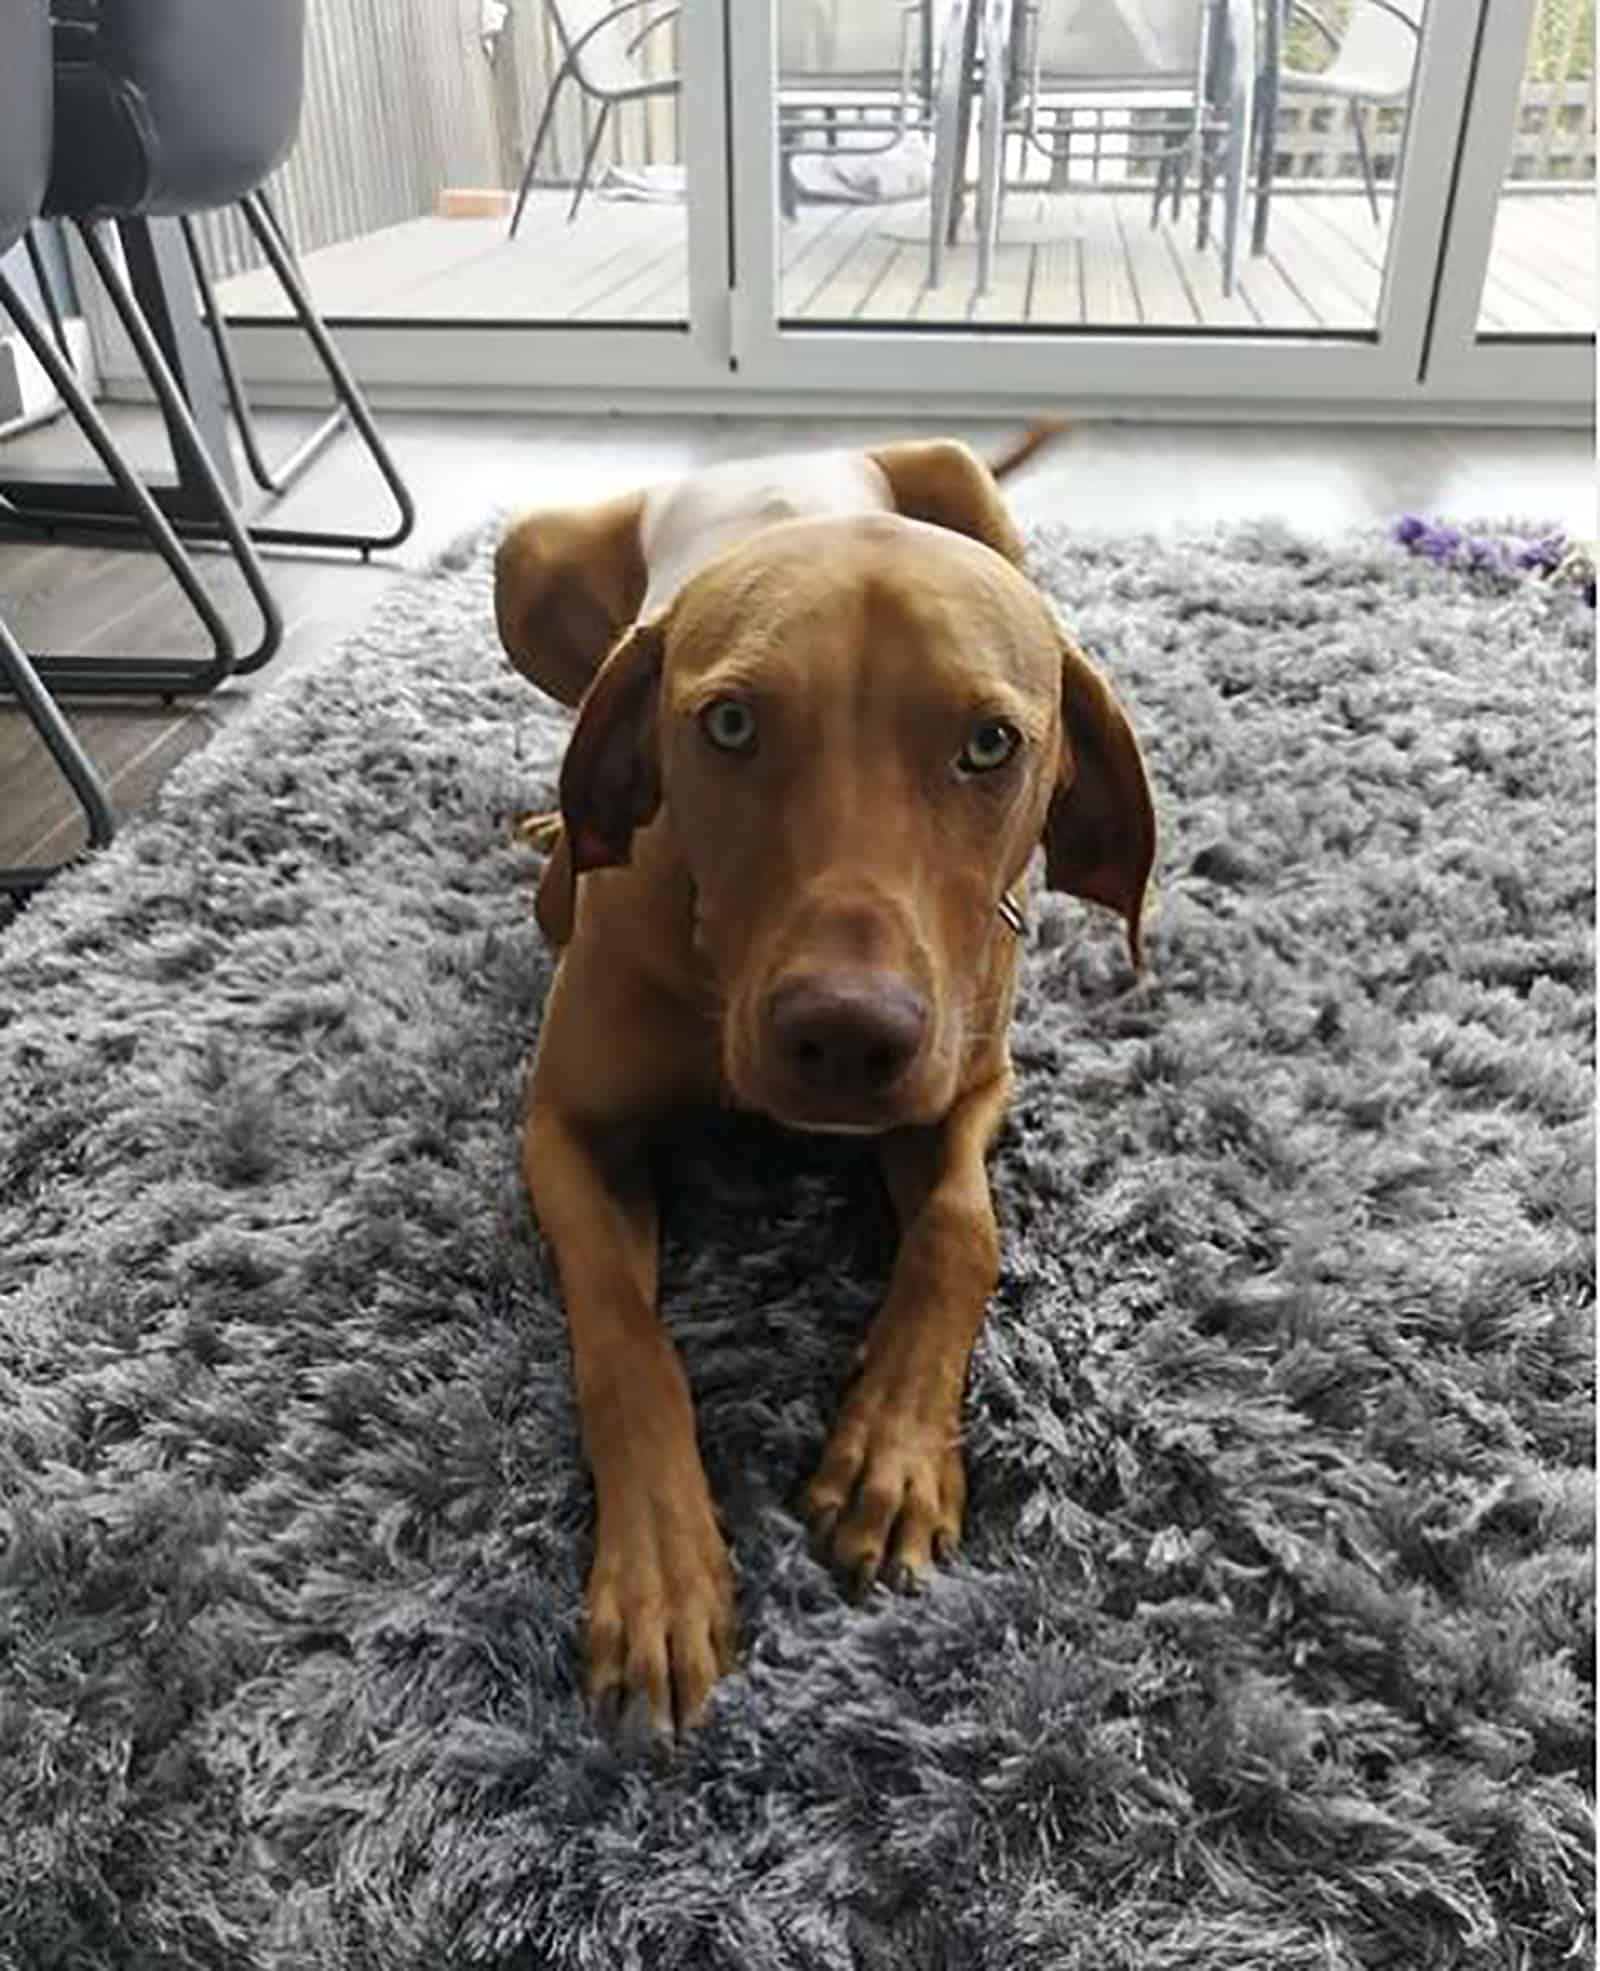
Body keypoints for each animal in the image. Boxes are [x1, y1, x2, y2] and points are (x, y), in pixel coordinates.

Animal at [494, 427, 1158, 1742]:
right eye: (729, 724)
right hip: (523, 560)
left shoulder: (967, 1085)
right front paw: (660, 1577)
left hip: (965, 482)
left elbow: (960, 1233)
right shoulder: (566, 1130)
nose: (847, 1039)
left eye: (990, 744)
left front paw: (893, 1457)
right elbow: (623, 1336)